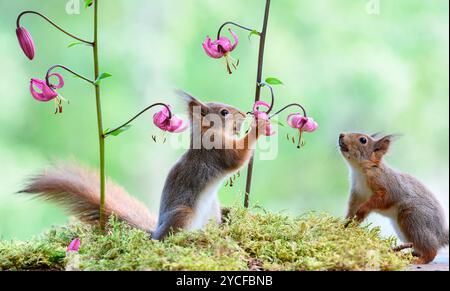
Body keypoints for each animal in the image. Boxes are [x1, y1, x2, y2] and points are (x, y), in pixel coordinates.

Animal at [21, 92, 268, 242]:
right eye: (224, 113)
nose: (243, 113)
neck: (206, 134)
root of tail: (155, 233)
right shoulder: (217, 151)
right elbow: (238, 157)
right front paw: (259, 124)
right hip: (184, 214)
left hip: (211, 212)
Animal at [340, 133, 448, 266]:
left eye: (363, 140)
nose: (341, 135)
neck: (360, 171)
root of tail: (440, 234)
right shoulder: (358, 193)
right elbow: (352, 209)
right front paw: (346, 224)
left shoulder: (388, 186)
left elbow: (382, 199)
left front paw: (362, 209)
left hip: (413, 218)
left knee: (431, 250)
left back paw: (420, 260)